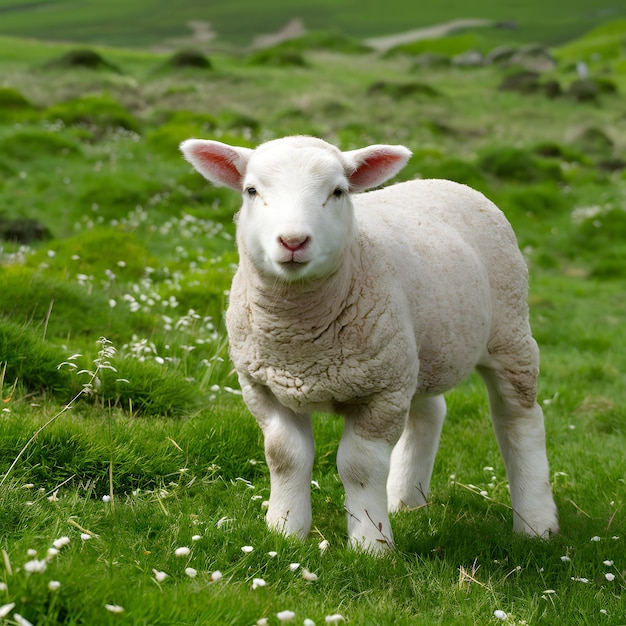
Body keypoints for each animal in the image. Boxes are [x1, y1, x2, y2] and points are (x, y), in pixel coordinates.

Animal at [179, 133, 556, 552]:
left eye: (338, 191)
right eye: (251, 190)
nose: (293, 241)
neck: (300, 340)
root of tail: (445, 182)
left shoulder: (381, 392)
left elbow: (360, 466)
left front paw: (371, 545)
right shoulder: (263, 386)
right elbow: (285, 456)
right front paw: (284, 531)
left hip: (508, 332)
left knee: (519, 419)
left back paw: (537, 523)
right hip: (415, 351)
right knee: (430, 412)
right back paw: (405, 500)